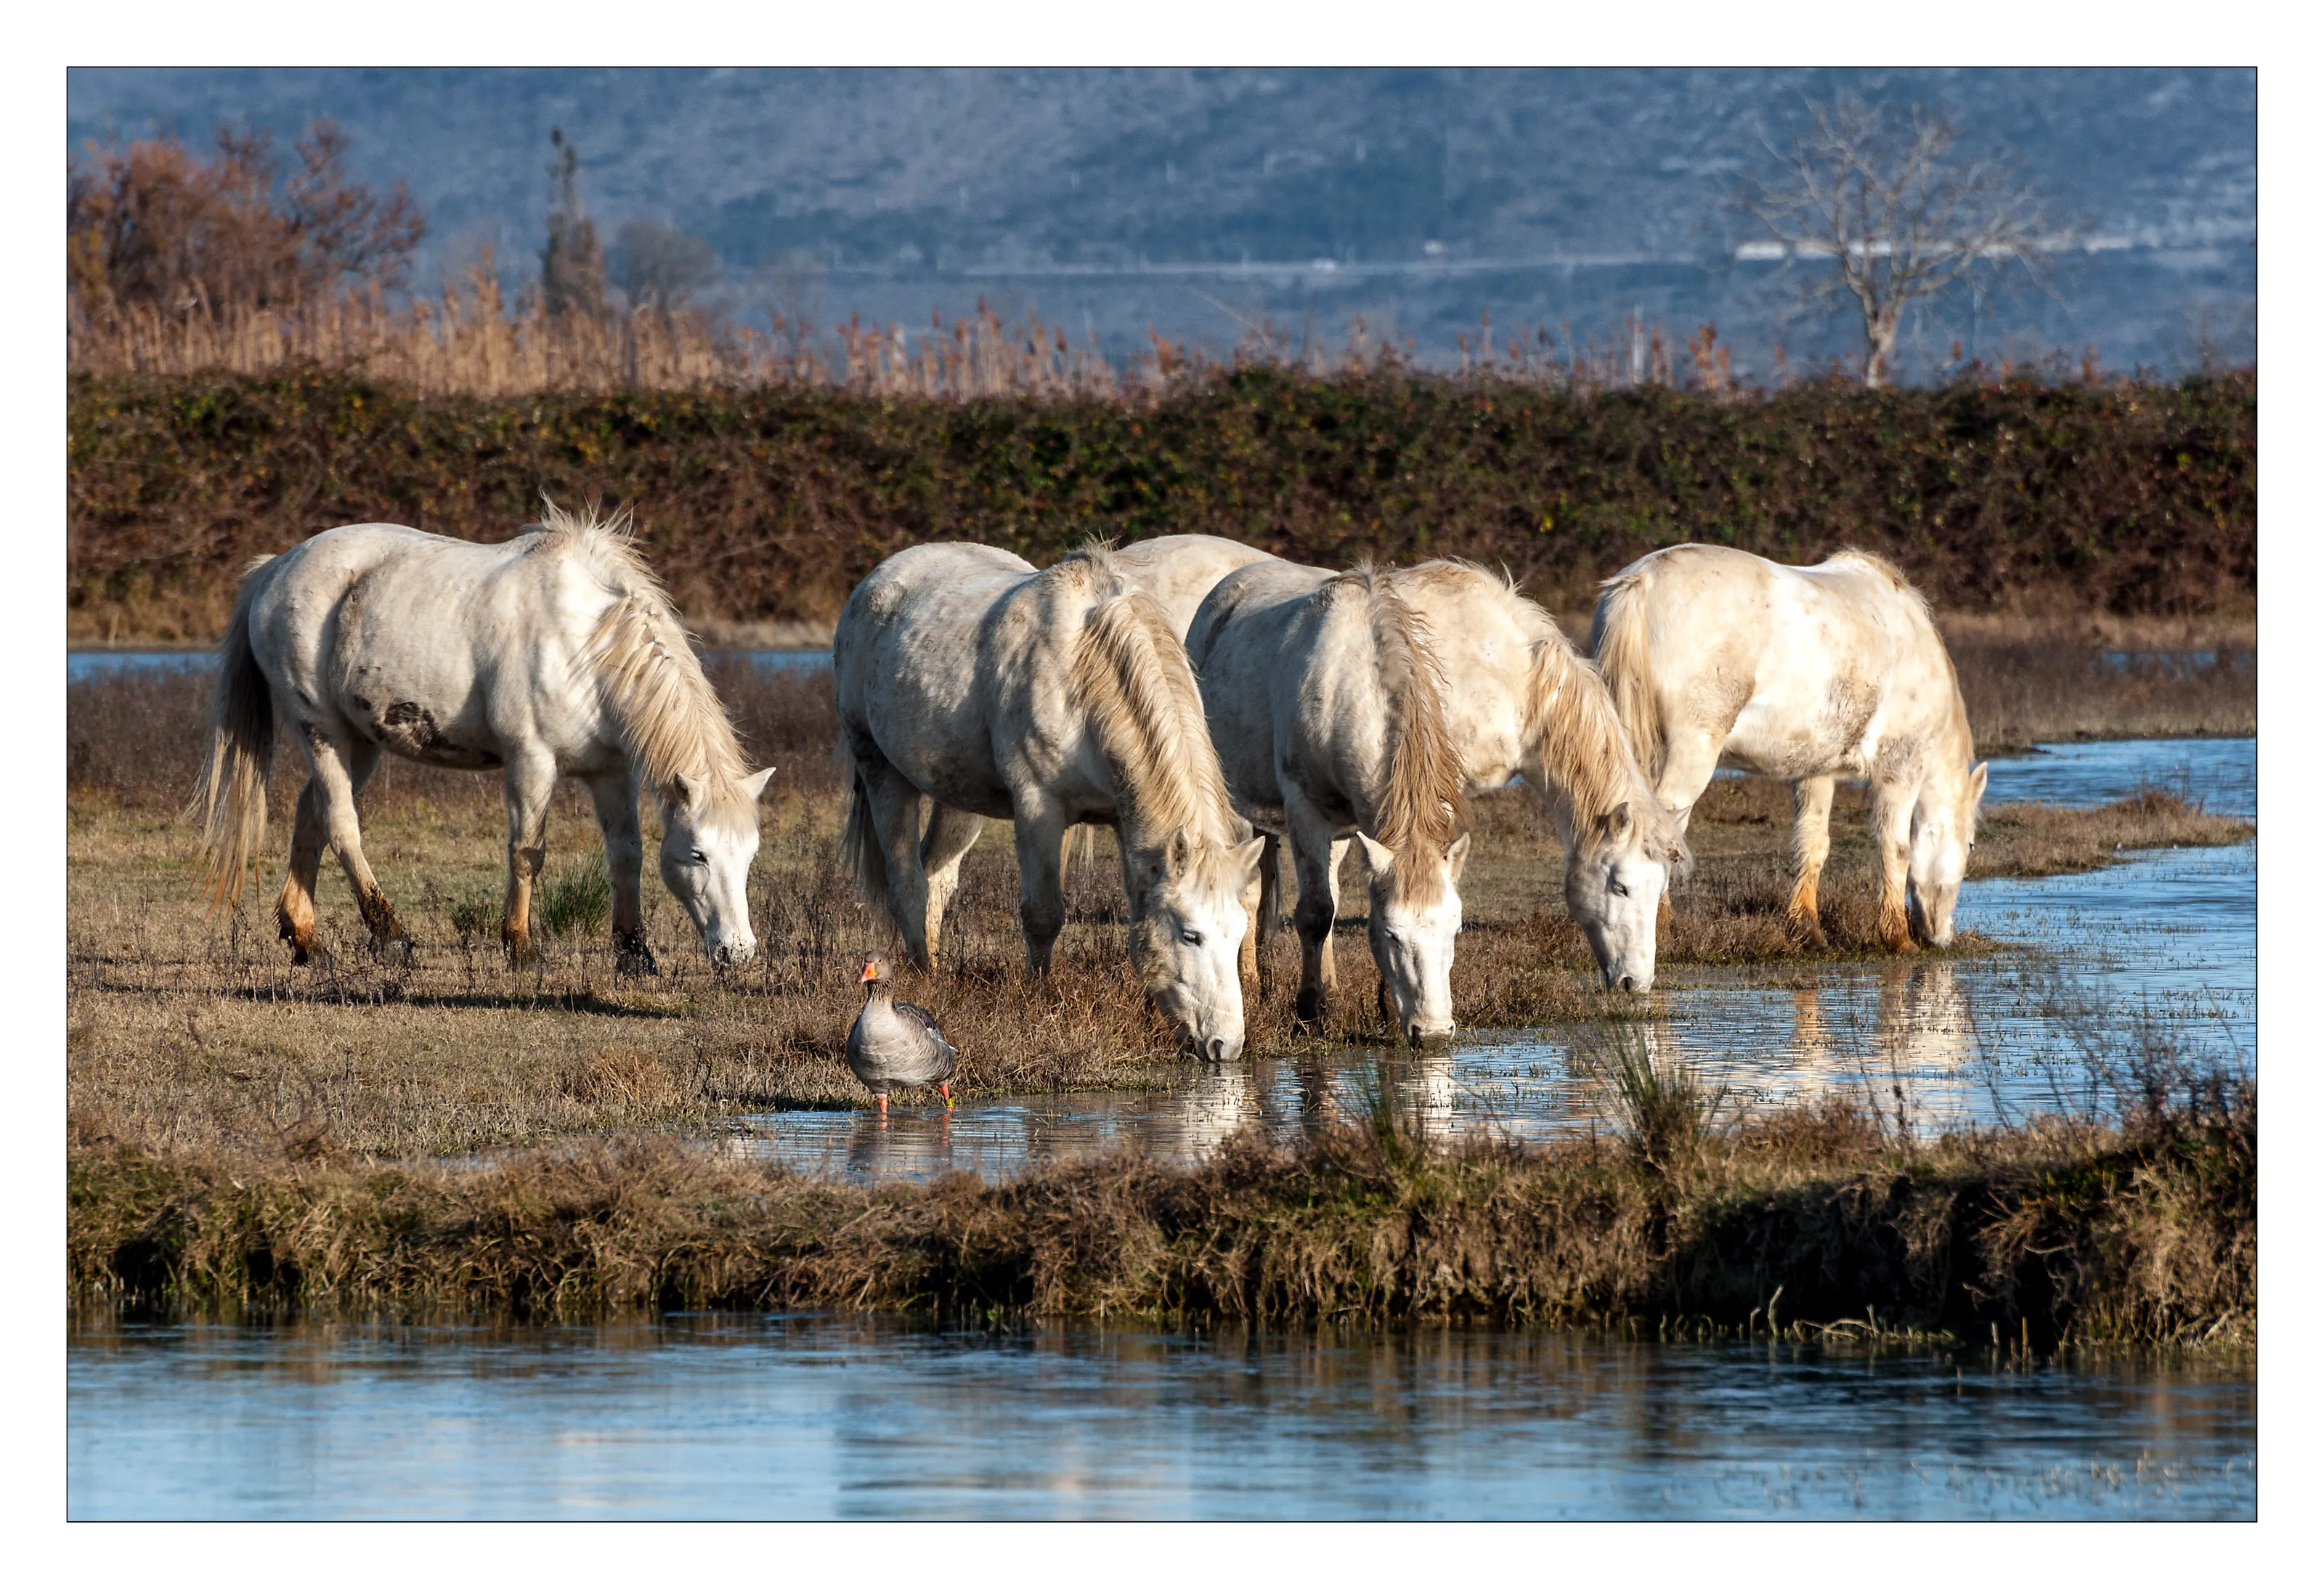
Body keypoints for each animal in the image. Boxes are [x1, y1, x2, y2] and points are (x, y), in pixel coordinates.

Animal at [194, 503, 774, 971]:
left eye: (750, 853)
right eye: (698, 854)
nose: (738, 952)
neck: (585, 644)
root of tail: (276, 567)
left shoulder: (612, 772)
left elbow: (626, 854)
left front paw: (635, 955)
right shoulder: (531, 762)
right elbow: (528, 852)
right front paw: (522, 948)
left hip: (361, 744)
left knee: (310, 817)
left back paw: (306, 941)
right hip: (323, 733)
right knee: (341, 825)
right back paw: (391, 937)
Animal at [833, 542, 1267, 1061]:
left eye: (1239, 931)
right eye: (1190, 934)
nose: (1226, 1044)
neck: (1085, 668)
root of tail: (876, 580)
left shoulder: (1124, 822)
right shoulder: (1038, 810)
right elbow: (1043, 914)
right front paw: (1041, 997)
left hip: (956, 798)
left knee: (935, 879)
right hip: (882, 772)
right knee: (907, 884)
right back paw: (924, 979)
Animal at [1187, 561, 1470, 1044]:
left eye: (1454, 929)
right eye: (1393, 935)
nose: (1433, 1032)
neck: (1350, 683)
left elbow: (1339, 904)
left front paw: (1378, 1006)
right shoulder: (1305, 812)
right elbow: (1315, 913)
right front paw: (1308, 1010)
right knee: (1251, 895)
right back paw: (1251, 984)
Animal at [1590, 544, 1985, 950]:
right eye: (1971, 844)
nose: (1941, 937)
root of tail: (1644, 581)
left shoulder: (1817, 772)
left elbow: (1812, 843)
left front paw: (1806, 927)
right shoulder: (1900, 770)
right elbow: (1896, 848)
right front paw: (1897, 937)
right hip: (1691, 750)